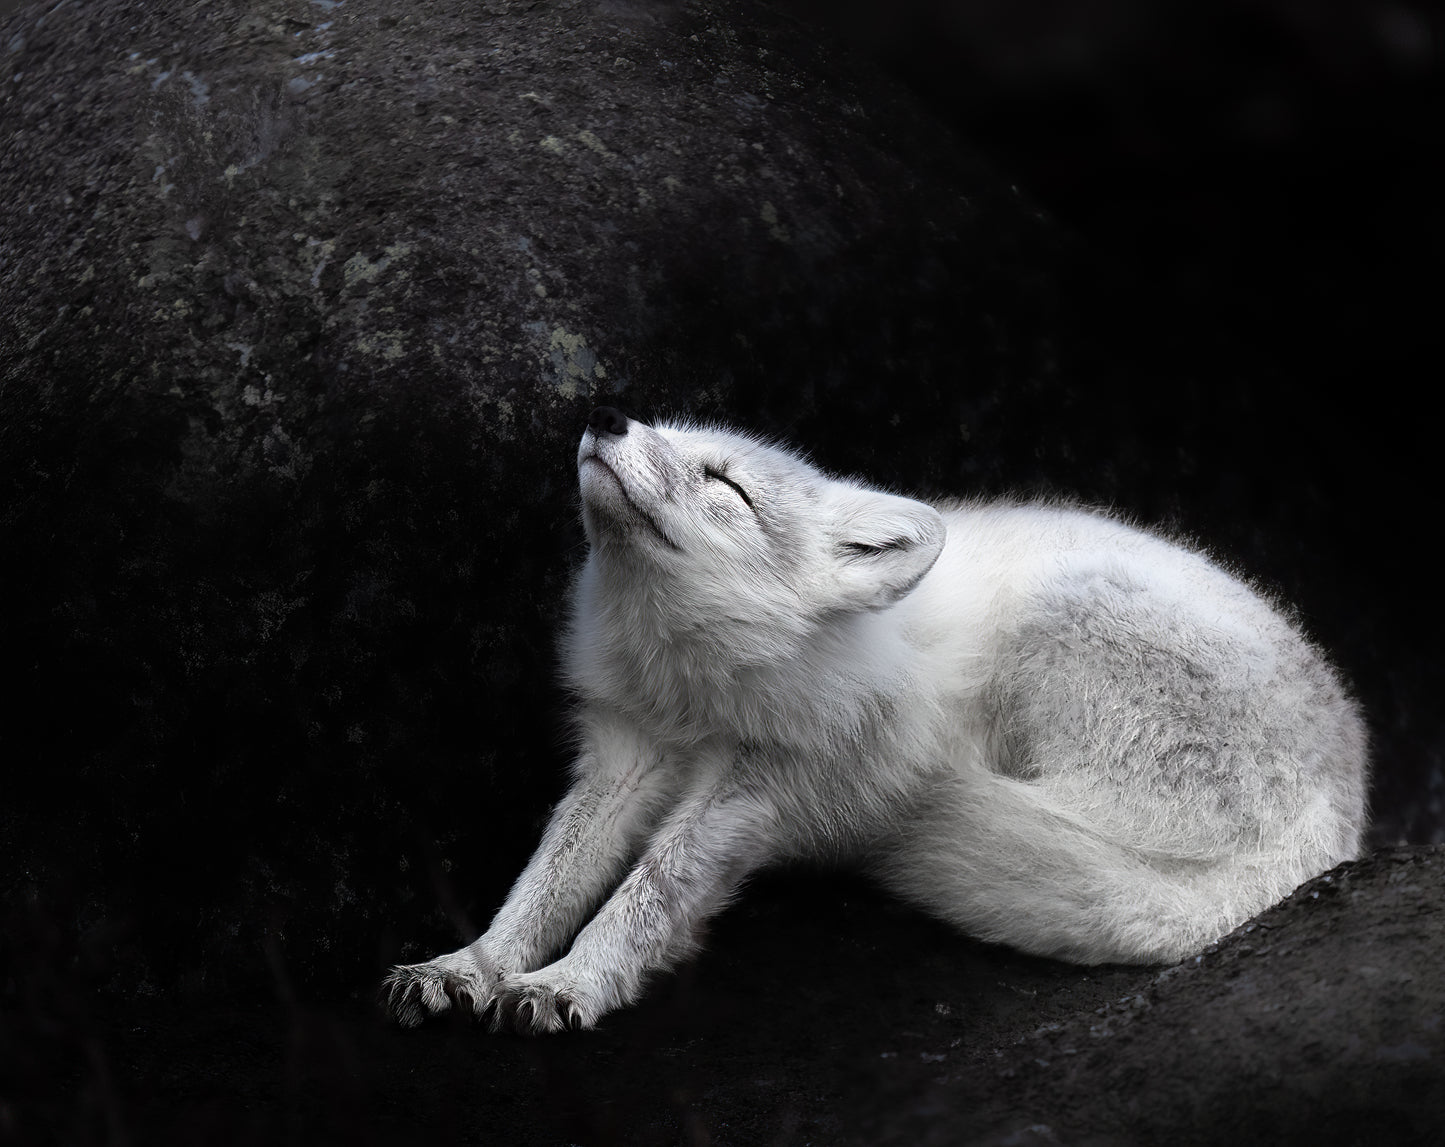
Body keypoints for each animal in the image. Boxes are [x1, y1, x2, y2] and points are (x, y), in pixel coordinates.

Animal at [381, 407, 1364, 1034]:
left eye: (724, 483)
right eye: (662, 429)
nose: (609, 418)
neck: (694, 694)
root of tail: (1336, 815)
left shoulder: (762, 784)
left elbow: (648, 889)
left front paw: (572, 980)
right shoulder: (625, 751)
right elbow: (542, 884)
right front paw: (469, 965)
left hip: (1067, 618)